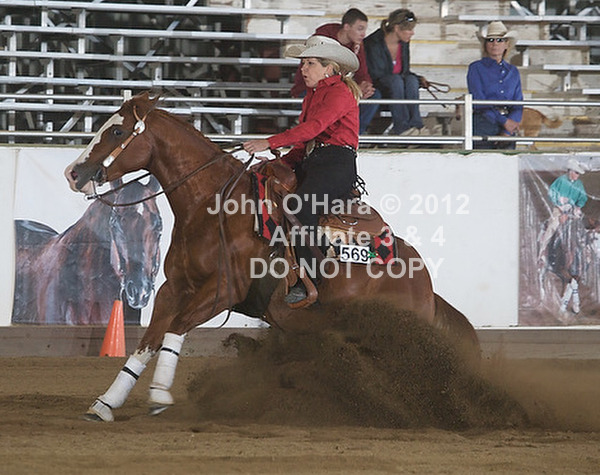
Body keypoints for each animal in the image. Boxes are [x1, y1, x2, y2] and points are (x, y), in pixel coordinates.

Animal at [64, 92, 479, 422]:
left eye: (117, 132)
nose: (73, 172)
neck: (212, 205)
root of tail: (425, 283)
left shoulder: (222, 291)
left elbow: (175, 329)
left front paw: (160, 395)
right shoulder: (174, 287)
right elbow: (148, 341)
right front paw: (106, 403)